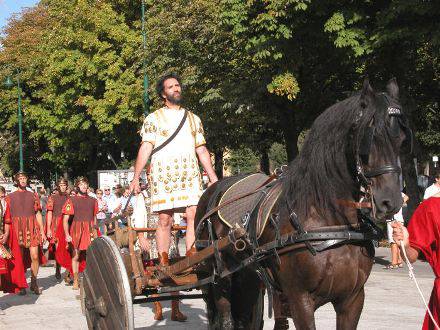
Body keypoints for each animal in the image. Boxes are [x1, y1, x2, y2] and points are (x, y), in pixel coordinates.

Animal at [194, 78, 410, 328]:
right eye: (370, 137)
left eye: (401, 139)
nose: (391, 200)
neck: (330, 221)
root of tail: (213, 189)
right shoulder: (300, 299)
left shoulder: (353, 299)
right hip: (221, 275)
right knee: (226, 314)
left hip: (247, 275)